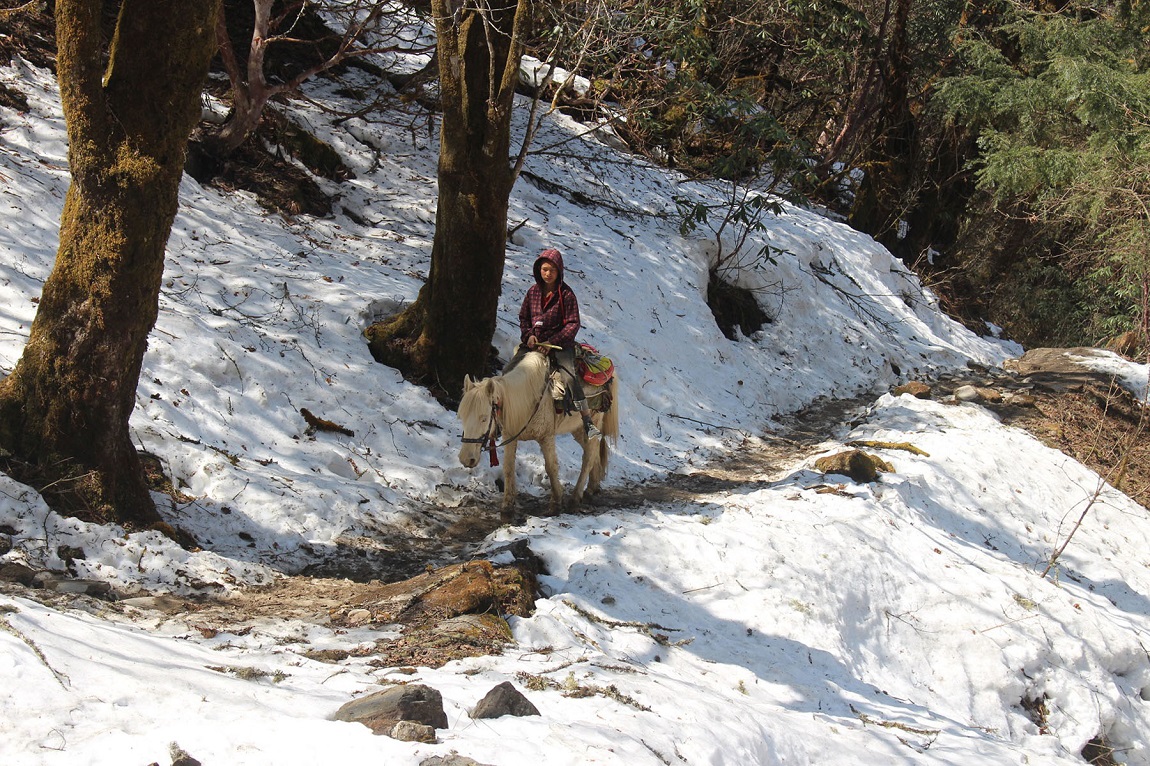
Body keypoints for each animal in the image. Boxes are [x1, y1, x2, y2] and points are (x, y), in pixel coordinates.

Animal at [457, 347, 621, 512]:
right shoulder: (510, 436)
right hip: (578, 430)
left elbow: (551, 467)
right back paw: (591, 489)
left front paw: (556, 501)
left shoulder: (546, 437)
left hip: (592, 421)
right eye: (462, 417)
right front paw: (507, 505)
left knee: (588, 456)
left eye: (484, 418)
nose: (466, 459)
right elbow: (508, 467)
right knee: (593, 453)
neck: (527, 398)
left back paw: (575, 498)